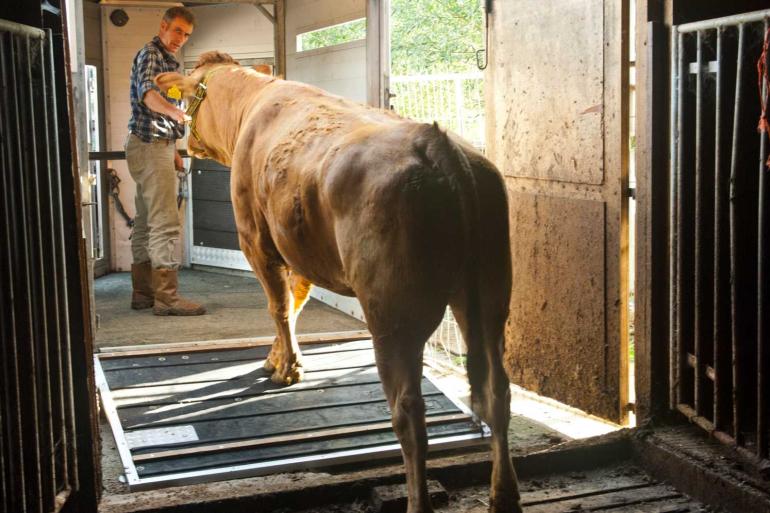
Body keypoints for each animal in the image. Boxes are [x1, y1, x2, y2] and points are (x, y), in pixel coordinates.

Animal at [154, 52, 520, 512]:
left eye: (188, 98)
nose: (183, 145)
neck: (252, 106)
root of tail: (439, 145)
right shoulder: (298, 246)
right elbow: (295, 303)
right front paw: (279, 358)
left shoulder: (255, 237)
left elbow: (278, 305)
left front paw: (287, 370)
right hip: (491, 291)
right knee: (497, 392)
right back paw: (504, 497)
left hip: (392, 313)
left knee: (409, 411)